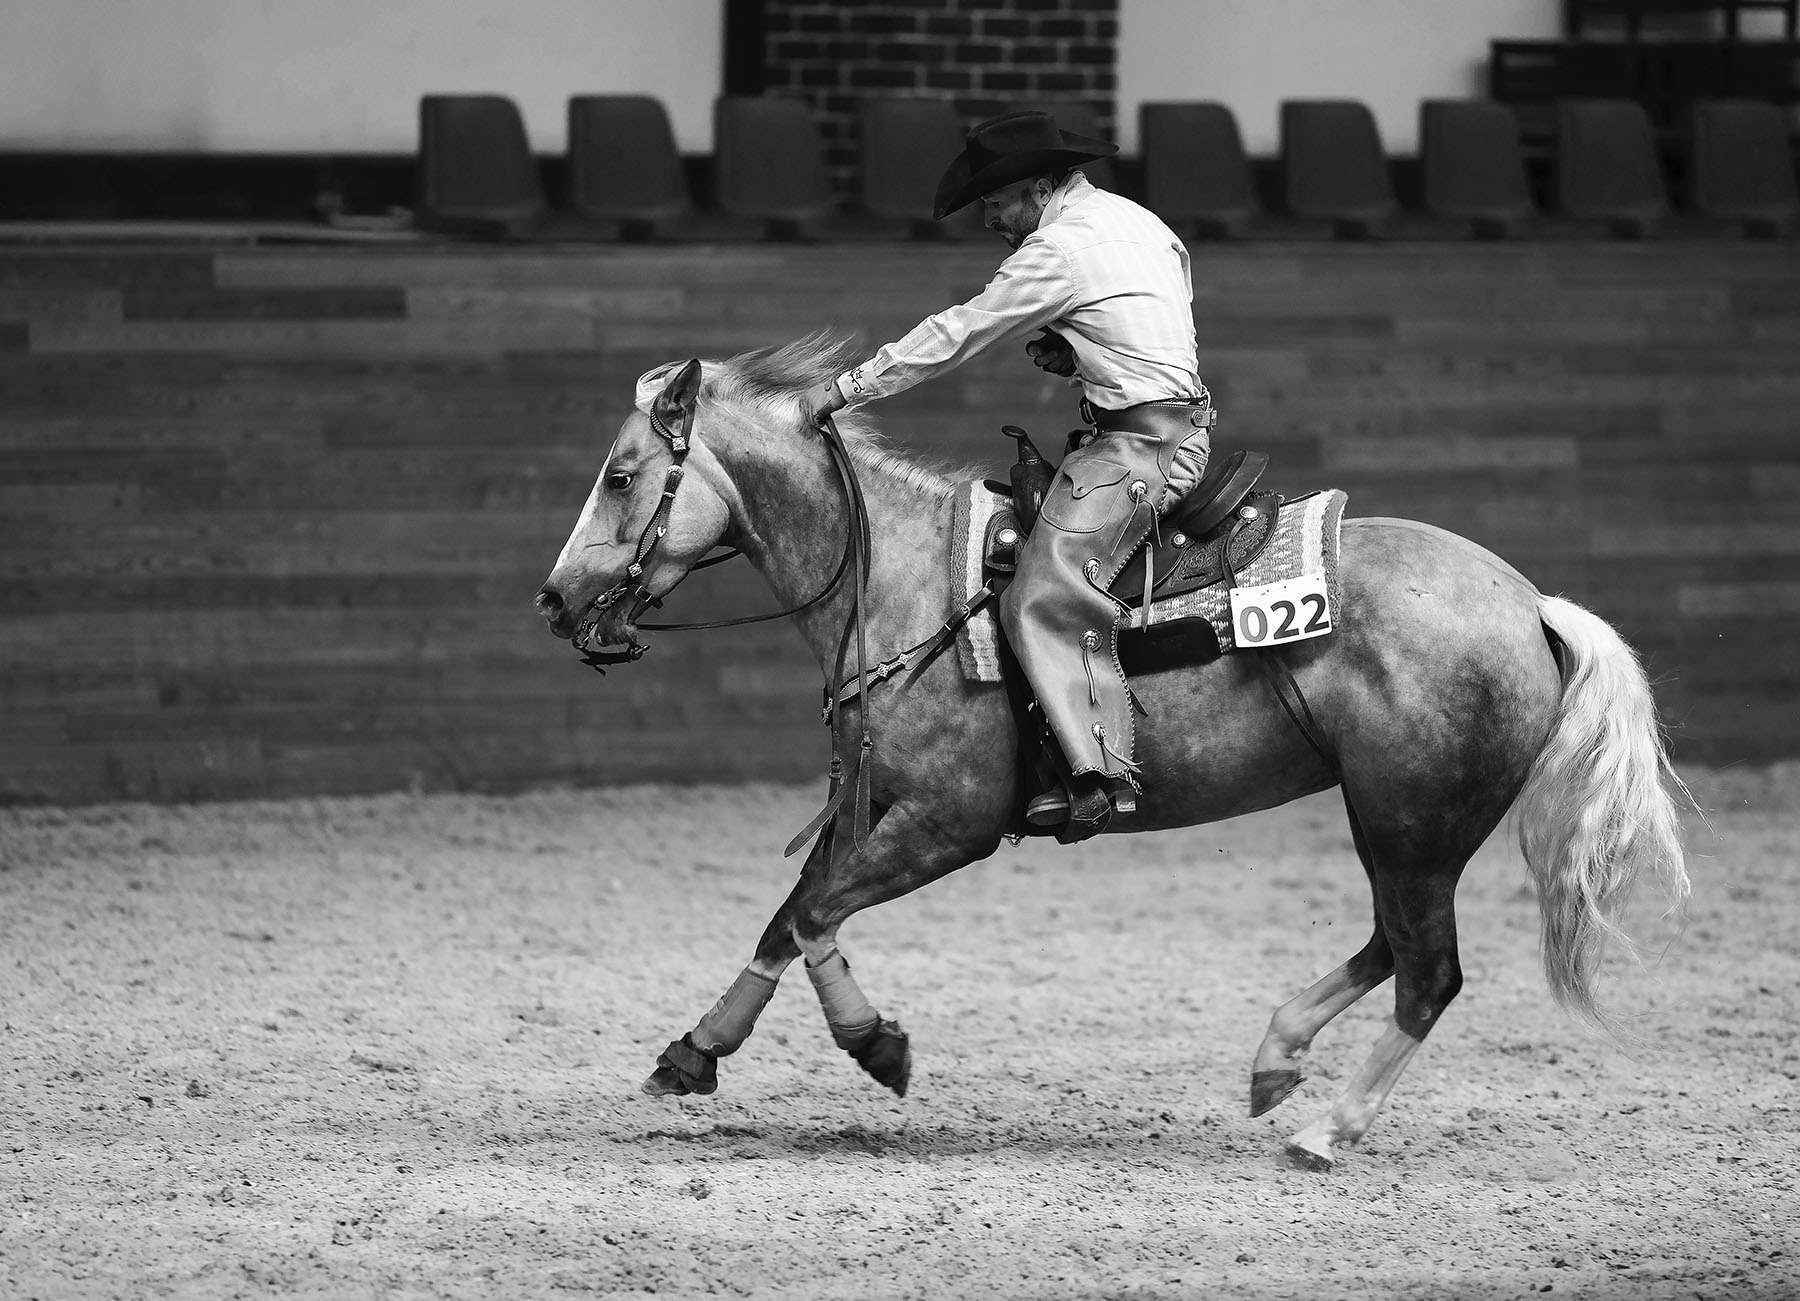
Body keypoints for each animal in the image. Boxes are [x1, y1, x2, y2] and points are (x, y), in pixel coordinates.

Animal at [534, 332, 1692, 1169]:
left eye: (623, 475)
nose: (555, 599)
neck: (906, 577)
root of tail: (1531, 603)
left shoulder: (949, 821)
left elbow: (815, 910)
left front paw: (867, 1045)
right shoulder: (878, 805)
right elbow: (792, 912)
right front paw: (701, 1049)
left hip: (1413, 819)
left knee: (1428, 973)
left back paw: (1324, 1131)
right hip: (1399, 823)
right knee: (1390, 947)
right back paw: (1276, 1059)